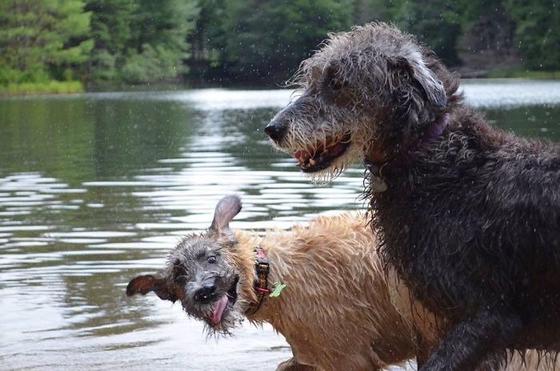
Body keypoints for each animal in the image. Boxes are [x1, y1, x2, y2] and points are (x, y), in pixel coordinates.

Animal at [128, 196, 560, 370]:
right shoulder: (315, 357)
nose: (204, 292)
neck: (277, 275)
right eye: (179, 277)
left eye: (210, 257)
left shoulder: (351, 359)